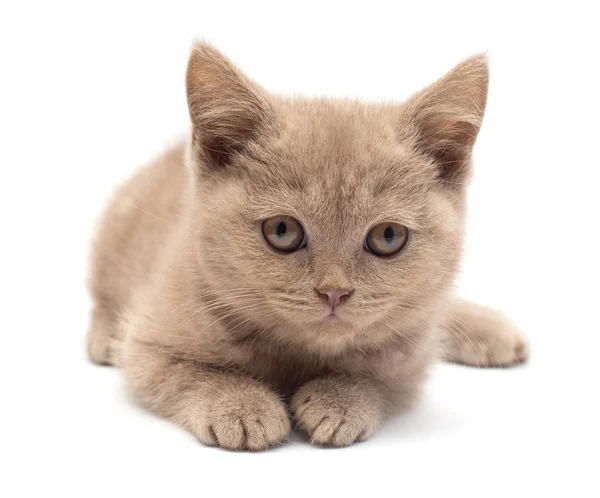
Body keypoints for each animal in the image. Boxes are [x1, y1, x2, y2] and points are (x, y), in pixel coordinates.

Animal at [86, 43, 528, 452]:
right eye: (282, 230)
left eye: (387, 236)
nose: (334, 292)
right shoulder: (146, 343)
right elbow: (187, 373)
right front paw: (242, 405)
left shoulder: (412, 357)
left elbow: (382, 377)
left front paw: (340, 400)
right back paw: (103, 336)